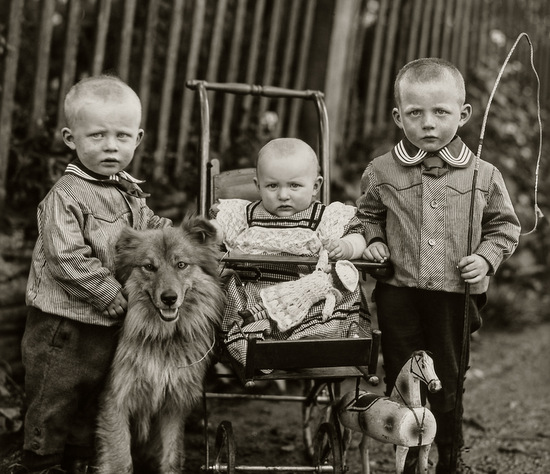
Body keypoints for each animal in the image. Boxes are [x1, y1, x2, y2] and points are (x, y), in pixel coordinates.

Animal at [96, 218, 224, 474]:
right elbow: (121, 462)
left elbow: (171, 457)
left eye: (181, 265)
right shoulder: (115, 400)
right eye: (149, 267)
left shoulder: (172, 405)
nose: (169, 298)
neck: (162, 338)